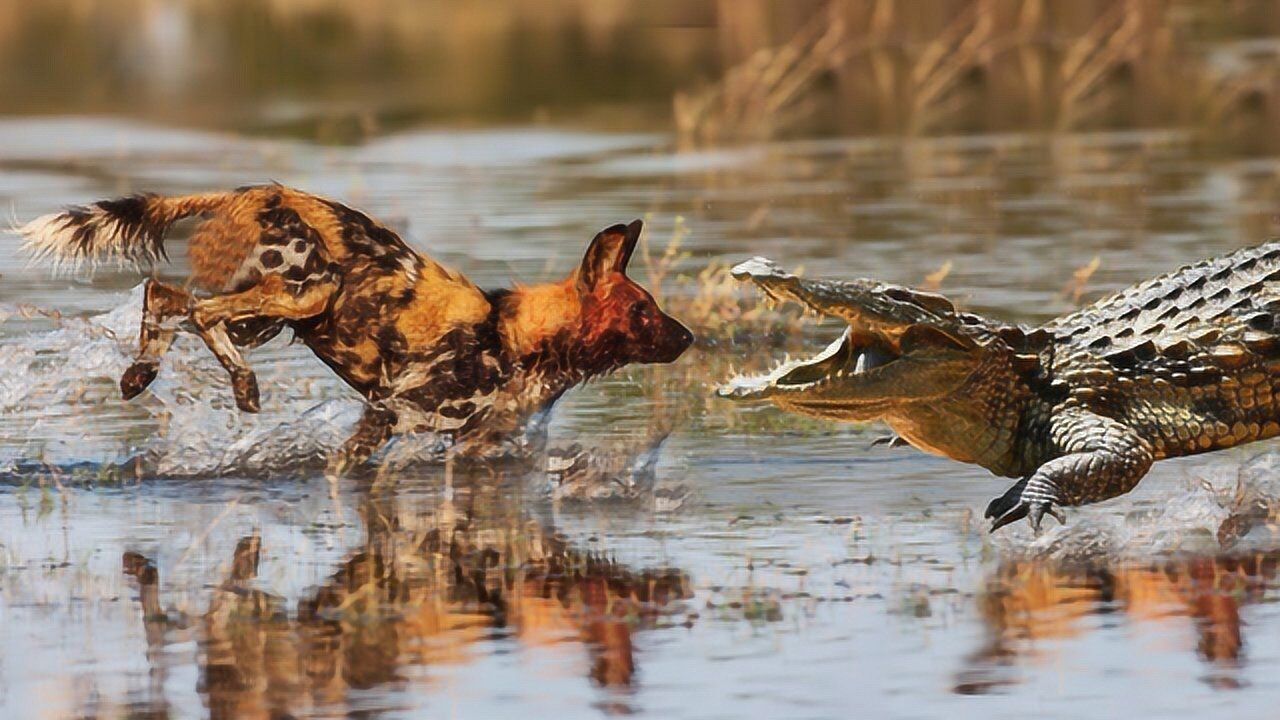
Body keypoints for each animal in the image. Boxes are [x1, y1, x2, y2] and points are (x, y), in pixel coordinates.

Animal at [17, 181, 691, 468]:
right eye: (644, 311)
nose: (688, 337)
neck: (515, 338)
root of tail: (249, 191)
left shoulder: (470, 442)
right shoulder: (393, 413)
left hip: (270, 314)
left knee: (165, 296)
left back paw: (140, 374)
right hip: (307, 290)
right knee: (201, 312)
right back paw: (242, 387)